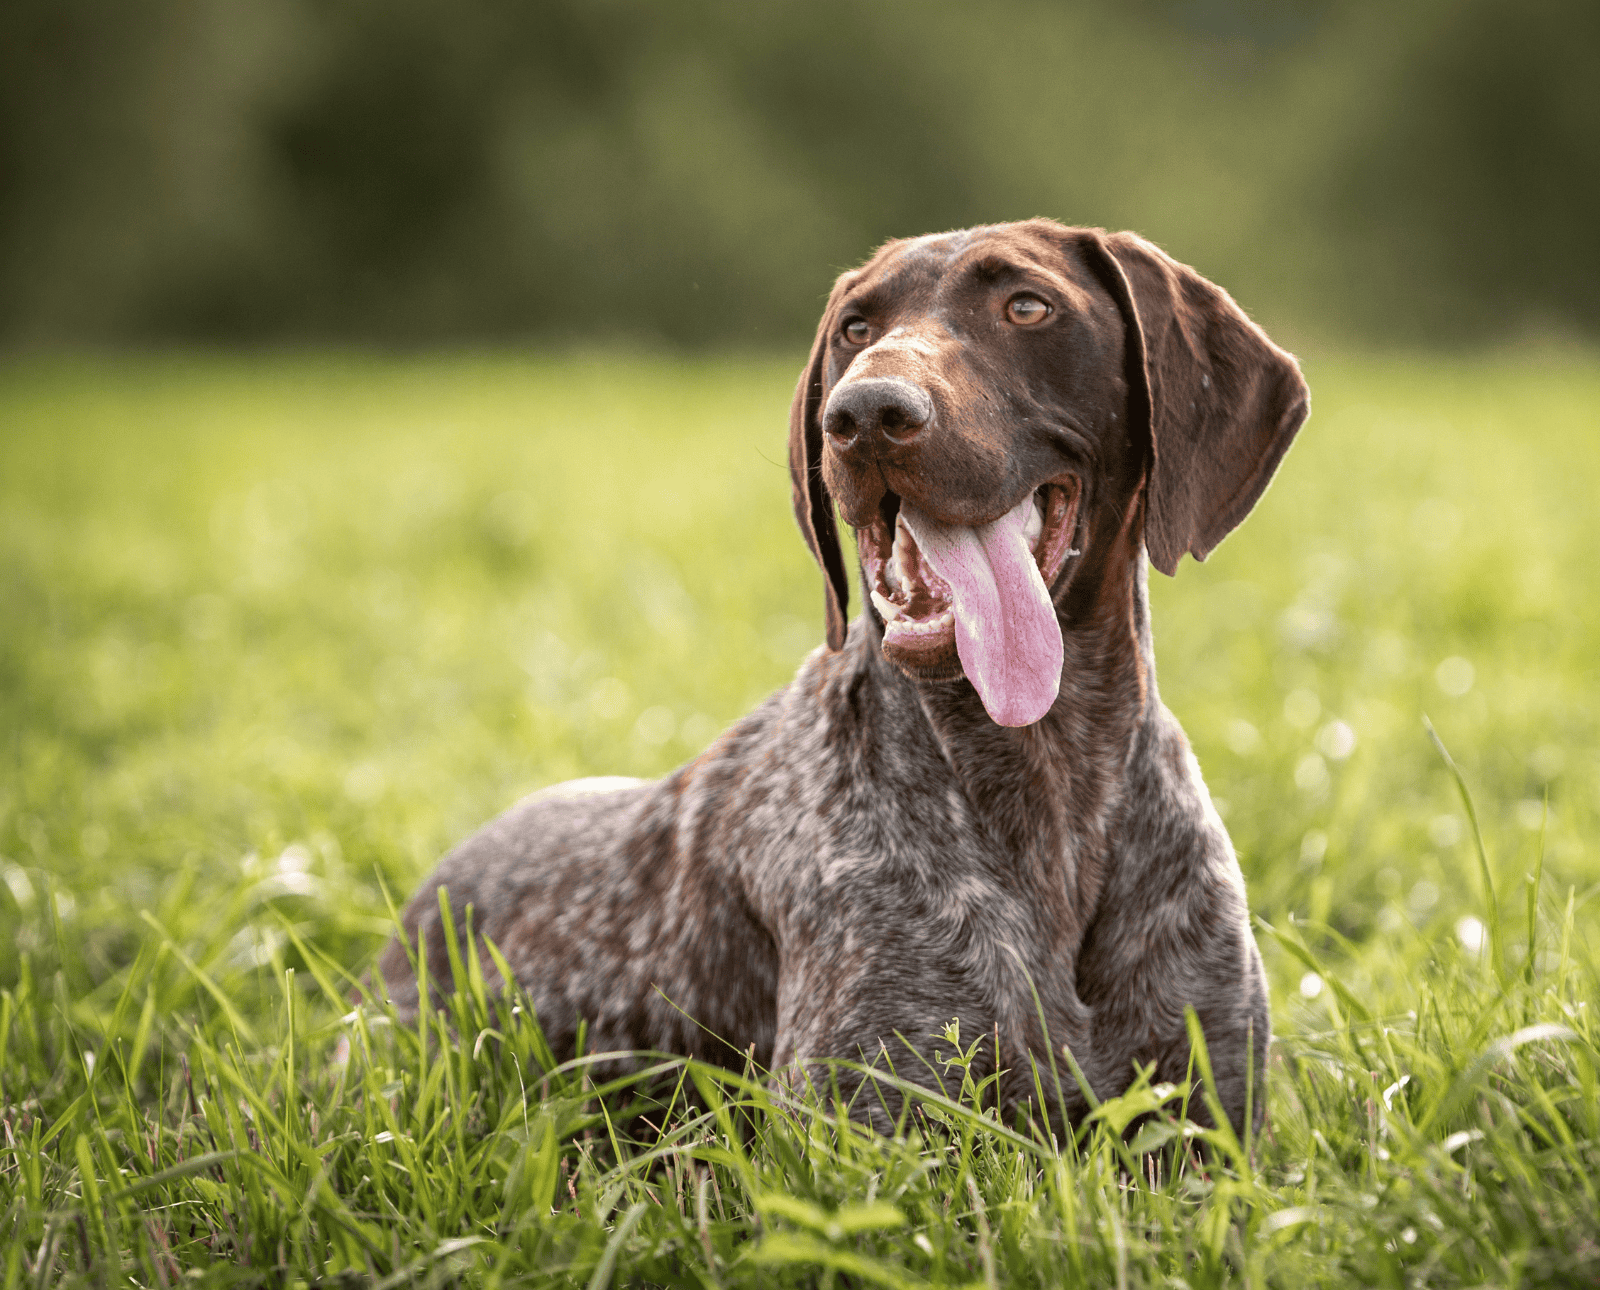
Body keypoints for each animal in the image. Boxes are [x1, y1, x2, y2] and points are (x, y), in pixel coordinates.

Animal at [377, 224, 1312, 1139]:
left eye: (1027, 306)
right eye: (855, 329)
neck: (1049, 783)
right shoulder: (869, 1134)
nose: (864, 413)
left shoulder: (1214, 1129)